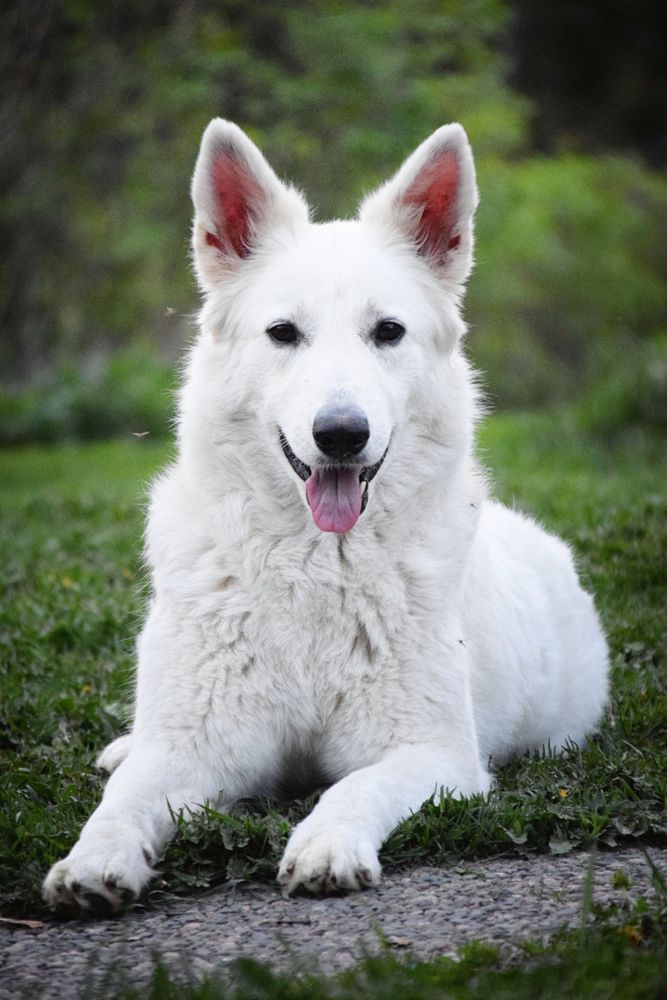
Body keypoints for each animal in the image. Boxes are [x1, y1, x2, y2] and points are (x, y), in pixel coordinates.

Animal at [43, 121, 612, 912]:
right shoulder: (194, 747)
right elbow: (122, 802)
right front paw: (92, 862)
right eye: (284, 333)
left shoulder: (430, 753)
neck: (315, 566)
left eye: (388, 331)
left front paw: (326, 845)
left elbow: (350, 790)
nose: (340, 433)